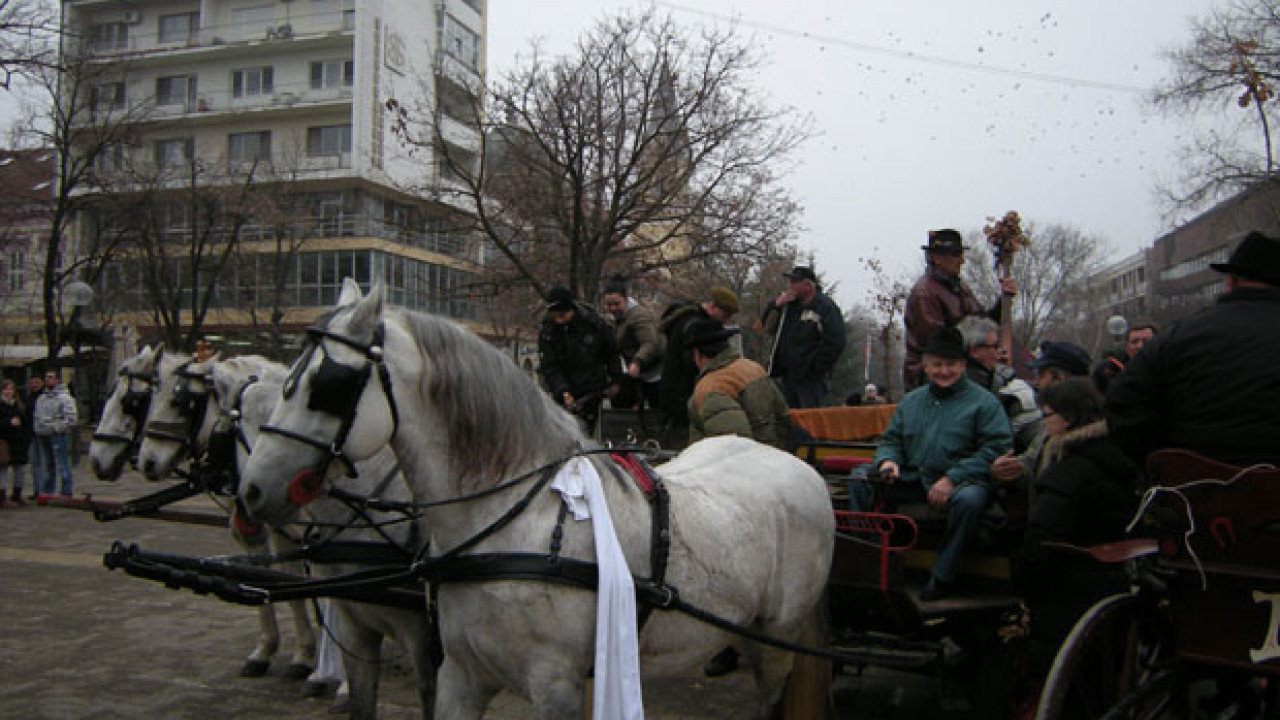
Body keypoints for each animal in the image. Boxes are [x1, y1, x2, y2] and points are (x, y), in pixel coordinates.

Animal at [240, 279, 839, 717]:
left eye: (329, 386)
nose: (250, 490)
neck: (516, 525)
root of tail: (794, 464)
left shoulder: (555, 686)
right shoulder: (459, 673)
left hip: (778, 638)